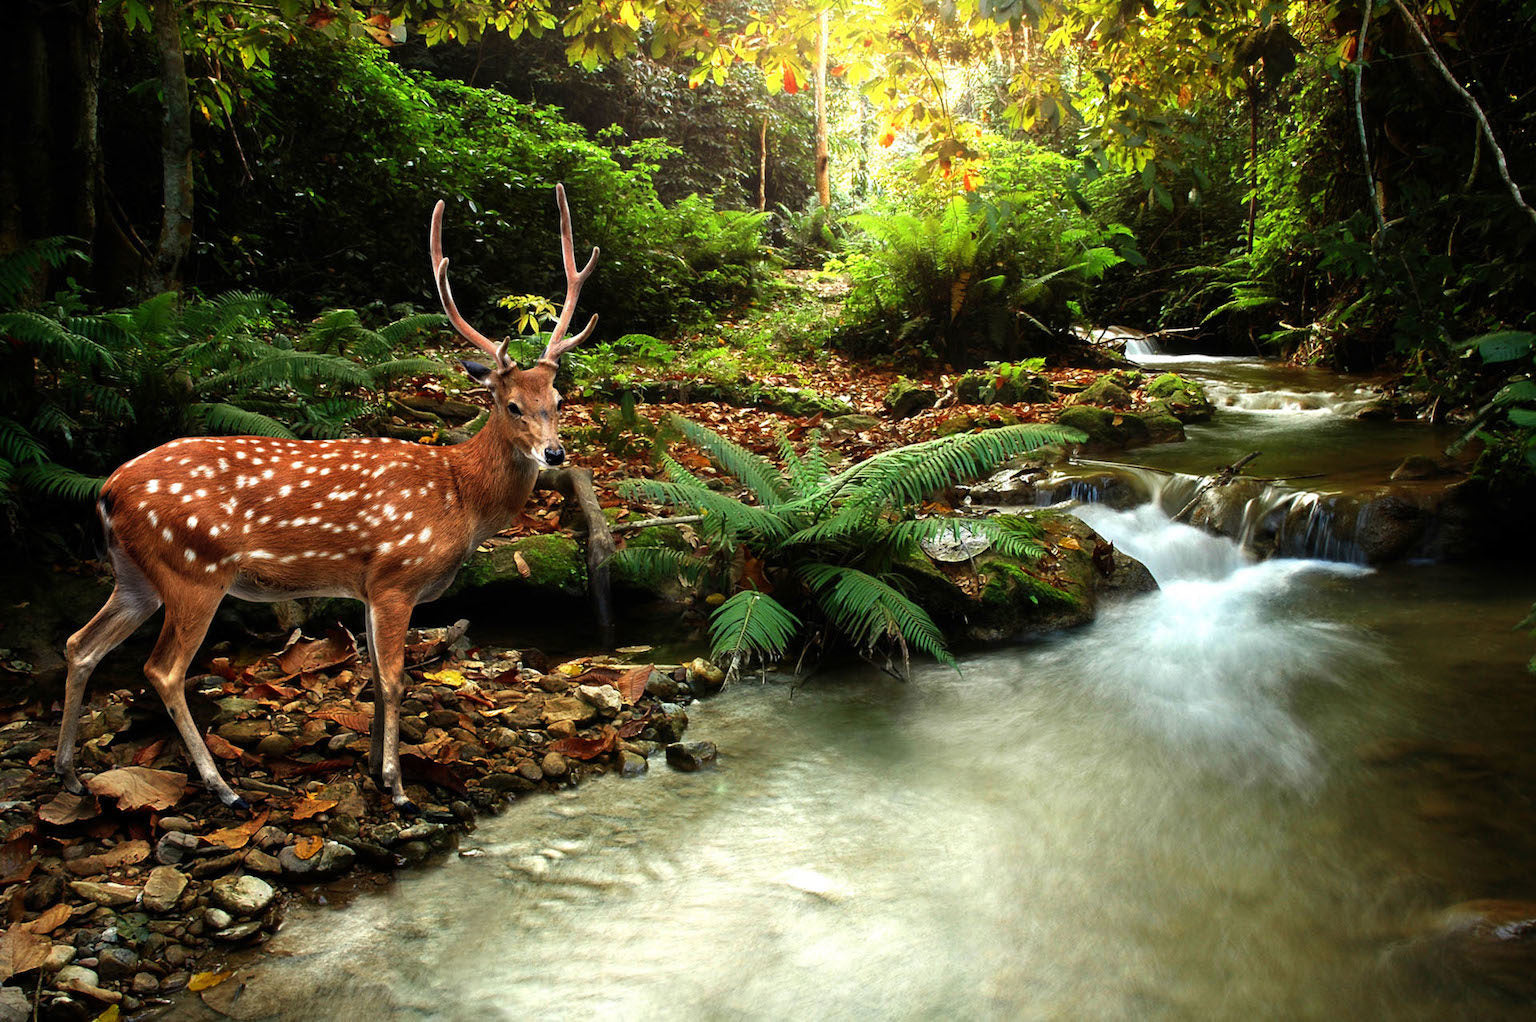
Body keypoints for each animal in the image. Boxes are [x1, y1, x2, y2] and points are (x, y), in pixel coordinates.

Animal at [54, 181, 595, 805]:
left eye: (557, 402)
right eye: (511, 406)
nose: (555, 454)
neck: (459, 498)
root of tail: (107, 490)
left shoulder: (367, 585)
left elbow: (374, 678)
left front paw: (374, 769)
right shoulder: (397, 575)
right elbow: (394, 679)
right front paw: (398, 786)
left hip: (135, 575)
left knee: (80, 643)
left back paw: (69, 772)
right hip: (194, 569)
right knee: (161, 669)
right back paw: (223, 787)